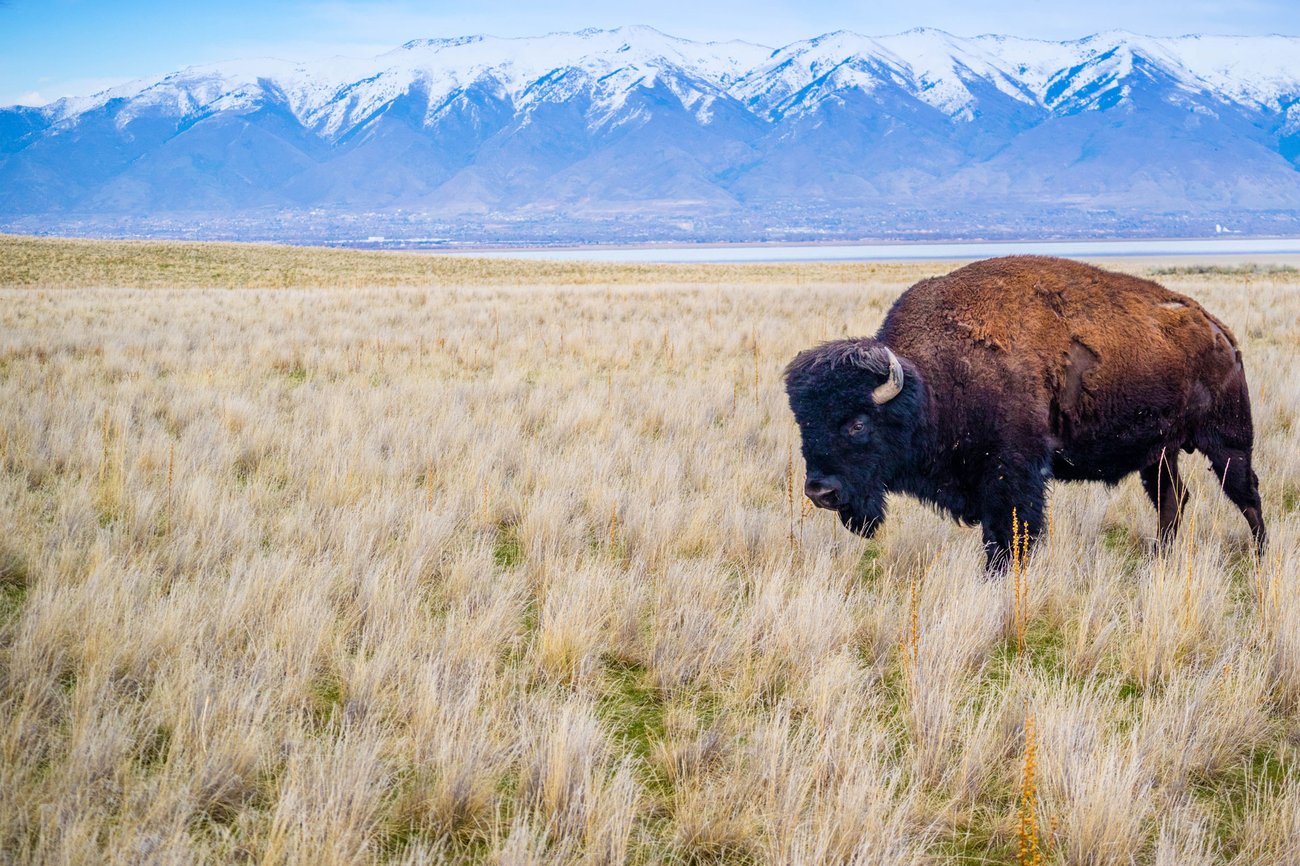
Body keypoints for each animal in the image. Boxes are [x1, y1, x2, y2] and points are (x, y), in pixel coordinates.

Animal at [784, 256, 1265, 571]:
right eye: (805, 425)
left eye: (857, 423)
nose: (820, 492)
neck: (932, 383)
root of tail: (1220, 332)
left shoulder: (1013, 473)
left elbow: (1011, 535)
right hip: (1159, 453)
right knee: (1173, 500)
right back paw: (1159, 559)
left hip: (1227, 441)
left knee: (1246, 496)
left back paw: (1260, 556)